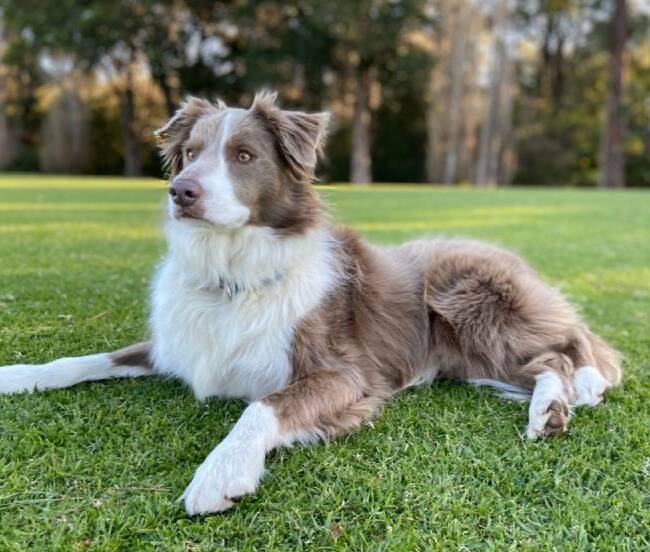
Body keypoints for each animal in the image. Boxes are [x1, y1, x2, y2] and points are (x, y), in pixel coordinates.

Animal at [0, 92, 620, 516]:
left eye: (244, 155)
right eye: (191, 154)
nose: (181, 193)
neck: (231, 276)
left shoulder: (345, 375)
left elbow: (261, 406)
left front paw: (220, 472)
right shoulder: (176, 344)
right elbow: (85, 359)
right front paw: (19, 374)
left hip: (469, 298)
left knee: (568, 346)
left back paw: (567, 395)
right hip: (471, 355)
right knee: (545, 359)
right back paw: (550, 408)